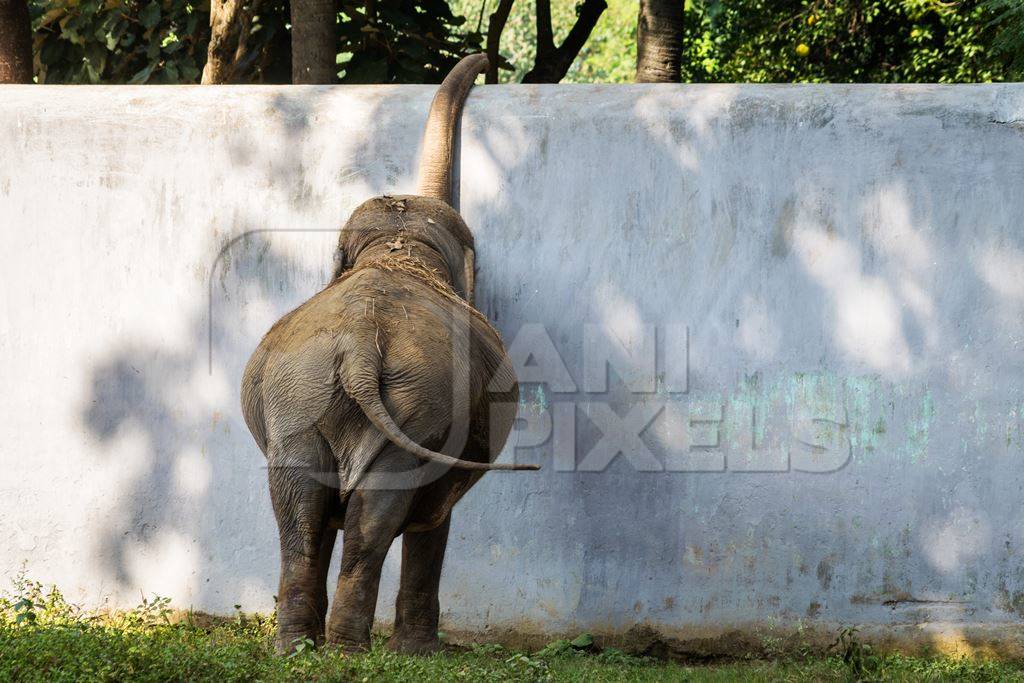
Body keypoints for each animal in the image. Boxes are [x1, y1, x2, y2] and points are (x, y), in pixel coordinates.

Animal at [240, 54, 540, 655]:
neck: (397, 251)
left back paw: (305, 648)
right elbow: (433, 520)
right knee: (369, 518)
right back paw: (348, 649)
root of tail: (359, 349)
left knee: (302, 514)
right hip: (399, 408)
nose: (491, 62)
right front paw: (421, 655)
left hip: (310, 404)